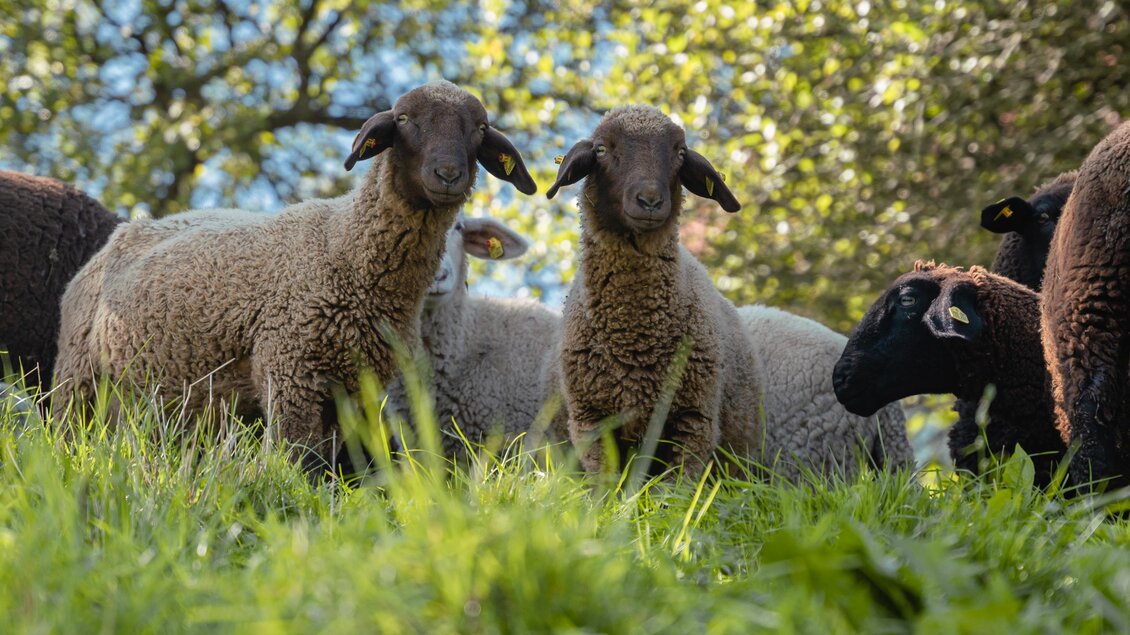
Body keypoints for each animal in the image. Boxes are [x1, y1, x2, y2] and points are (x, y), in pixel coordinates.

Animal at [53, 81, 538, 465]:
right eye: (403, 119)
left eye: (479, 128)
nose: (448, 174)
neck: (345, 246)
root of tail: (124, 232)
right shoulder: (290, 370)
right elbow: (293, 459)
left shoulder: (352, 390)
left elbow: (321, 463)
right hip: (78, 378)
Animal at [545, 104, 762, 478]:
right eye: (601, 149)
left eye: (680, 153)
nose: (649, 200)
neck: (634, 337)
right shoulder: (591, 420)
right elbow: (606, 483)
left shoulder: (693, 421)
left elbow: (674, 488)